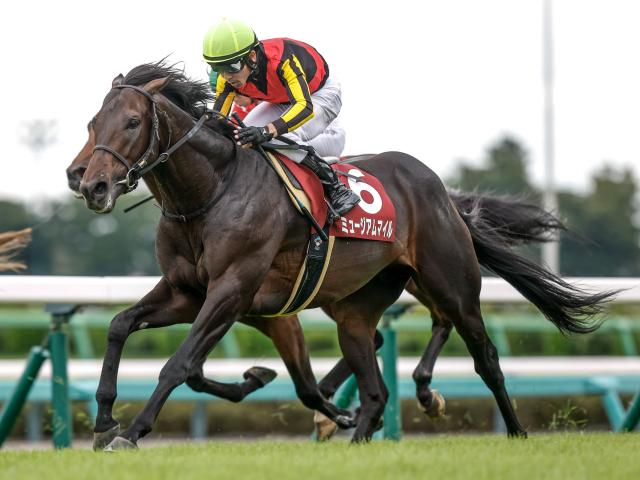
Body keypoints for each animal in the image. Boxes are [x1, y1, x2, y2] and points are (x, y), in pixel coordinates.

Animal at [79, 62, 615, 448]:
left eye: (132, 122)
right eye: (92, 123)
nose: (91, 185)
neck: (209, 192)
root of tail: (443, 193)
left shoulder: (233, 291)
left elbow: (180, 364)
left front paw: (132, 431)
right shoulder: (187, 292)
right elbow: (120, 326)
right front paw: (104, 418)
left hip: (452, 285)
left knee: (483, 356)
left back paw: (513, 429)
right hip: (357, 309)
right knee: (374, 378)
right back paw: (361, 431)